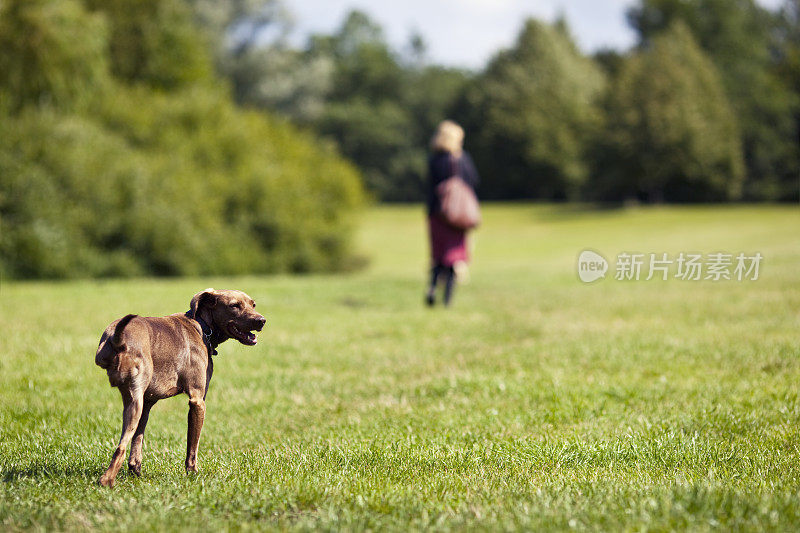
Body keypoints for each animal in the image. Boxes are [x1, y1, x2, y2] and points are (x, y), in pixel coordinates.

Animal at [93, 288, 262, 484]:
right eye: (234, 305)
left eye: (253, 304)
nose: (261, 321)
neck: (202, 326)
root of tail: (115, 337)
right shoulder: (197, 400)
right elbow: (192, 447)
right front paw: (193, 474)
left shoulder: (148, 403)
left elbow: (138, 442)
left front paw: (136, 471)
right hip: (135, 403)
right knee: (120, 447)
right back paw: (106, 481)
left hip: (135, 401)